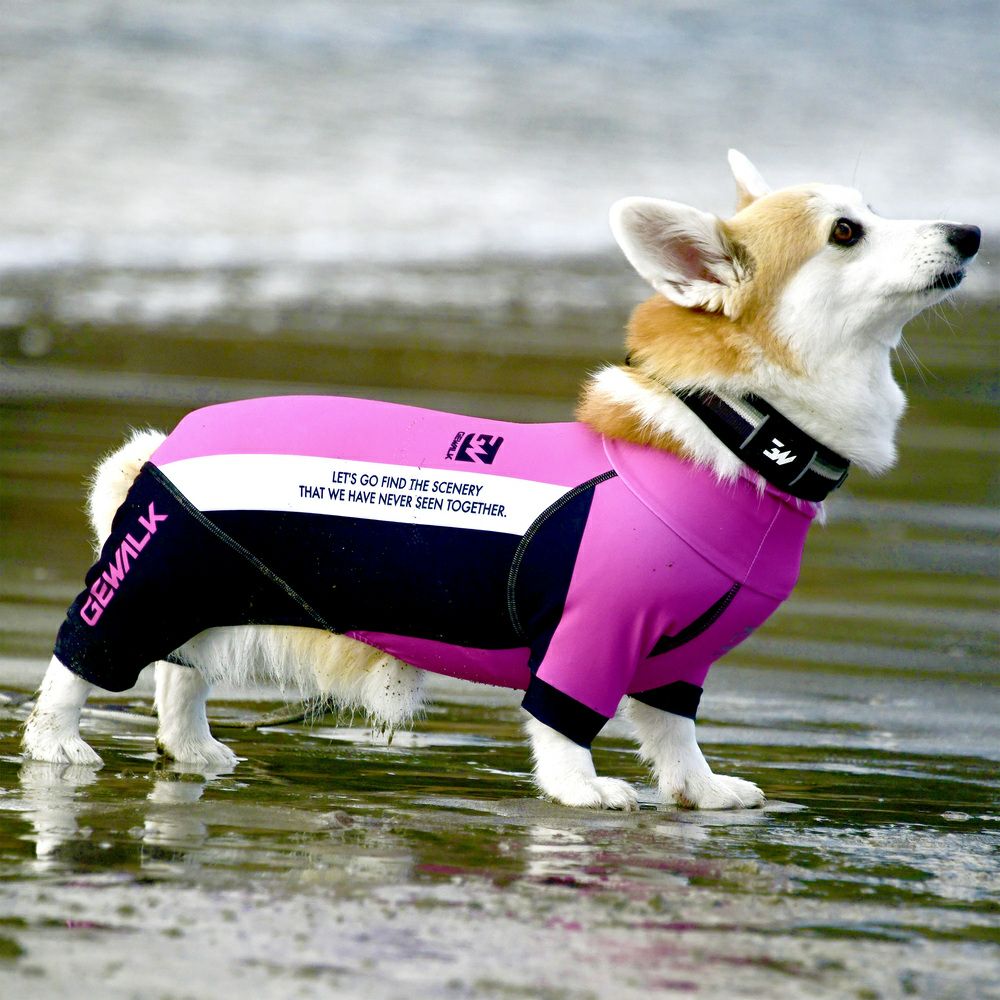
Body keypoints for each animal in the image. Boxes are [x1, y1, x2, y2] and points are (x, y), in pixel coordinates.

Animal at [22, 151, 980, 810]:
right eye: (846, 232)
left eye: (871, 210)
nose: (971, 231)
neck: (737, 431)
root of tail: (164, 443)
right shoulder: (591, 634)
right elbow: (564, 723)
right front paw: (582, 791)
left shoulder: (678, 662)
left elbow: (675, 734)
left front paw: (702, 793)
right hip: (150, 579)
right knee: (76, 663)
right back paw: (58, 746)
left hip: (206, 597)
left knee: (180, 678)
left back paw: (193, 753)